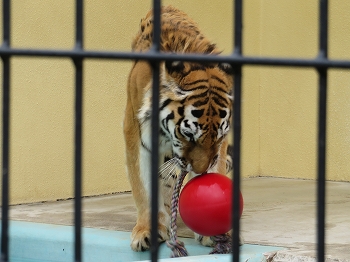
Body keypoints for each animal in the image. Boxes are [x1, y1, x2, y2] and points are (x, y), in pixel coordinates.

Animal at [124, 5, 234, 252]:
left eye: (217, 136)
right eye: (188, 134)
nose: (200, 172)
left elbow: (217, 167)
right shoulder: (136, 133)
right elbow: (143, 185)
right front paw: (147, 230)